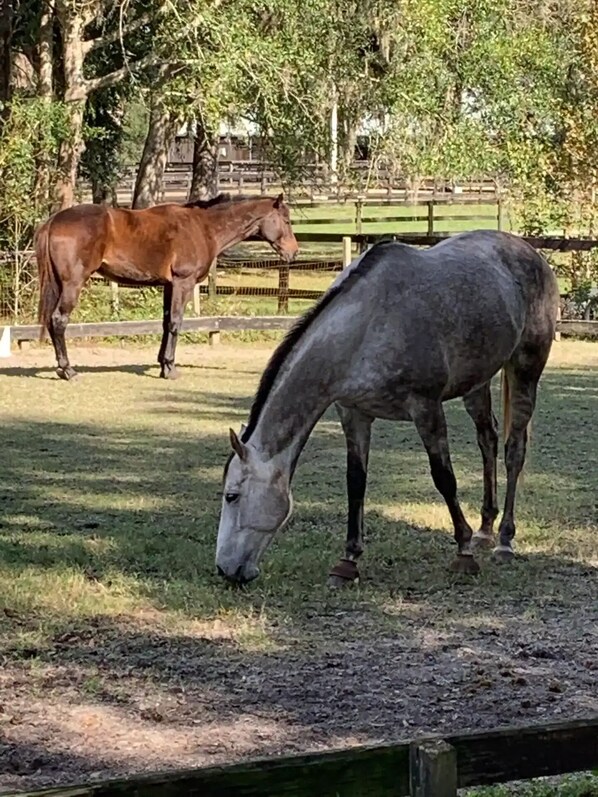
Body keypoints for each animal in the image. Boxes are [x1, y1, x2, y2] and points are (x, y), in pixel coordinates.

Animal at [35, 193, 298, 380]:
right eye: (286, 220)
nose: (293, 252)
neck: (203, 227)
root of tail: (54, 220)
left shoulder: (169, 286)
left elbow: (165, 323)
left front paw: (162, 364)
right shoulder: (183, 283)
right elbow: (175, 323)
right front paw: (170, 368)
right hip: (73, 284)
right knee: (58, 320)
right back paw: (68, 370)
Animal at [215, 230, 559, 586]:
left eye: (232, 496)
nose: (225, 570)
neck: (368, 324)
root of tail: (530, 252)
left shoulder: (426, 408)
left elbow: (444, 478)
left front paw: (463, 552)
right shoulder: (353, 413)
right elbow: (356, 482)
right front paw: (348, 560)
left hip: (525, 368)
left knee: (514, 449)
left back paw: (504, 540)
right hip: (476, 381)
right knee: (487, 440)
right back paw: (485, 529)